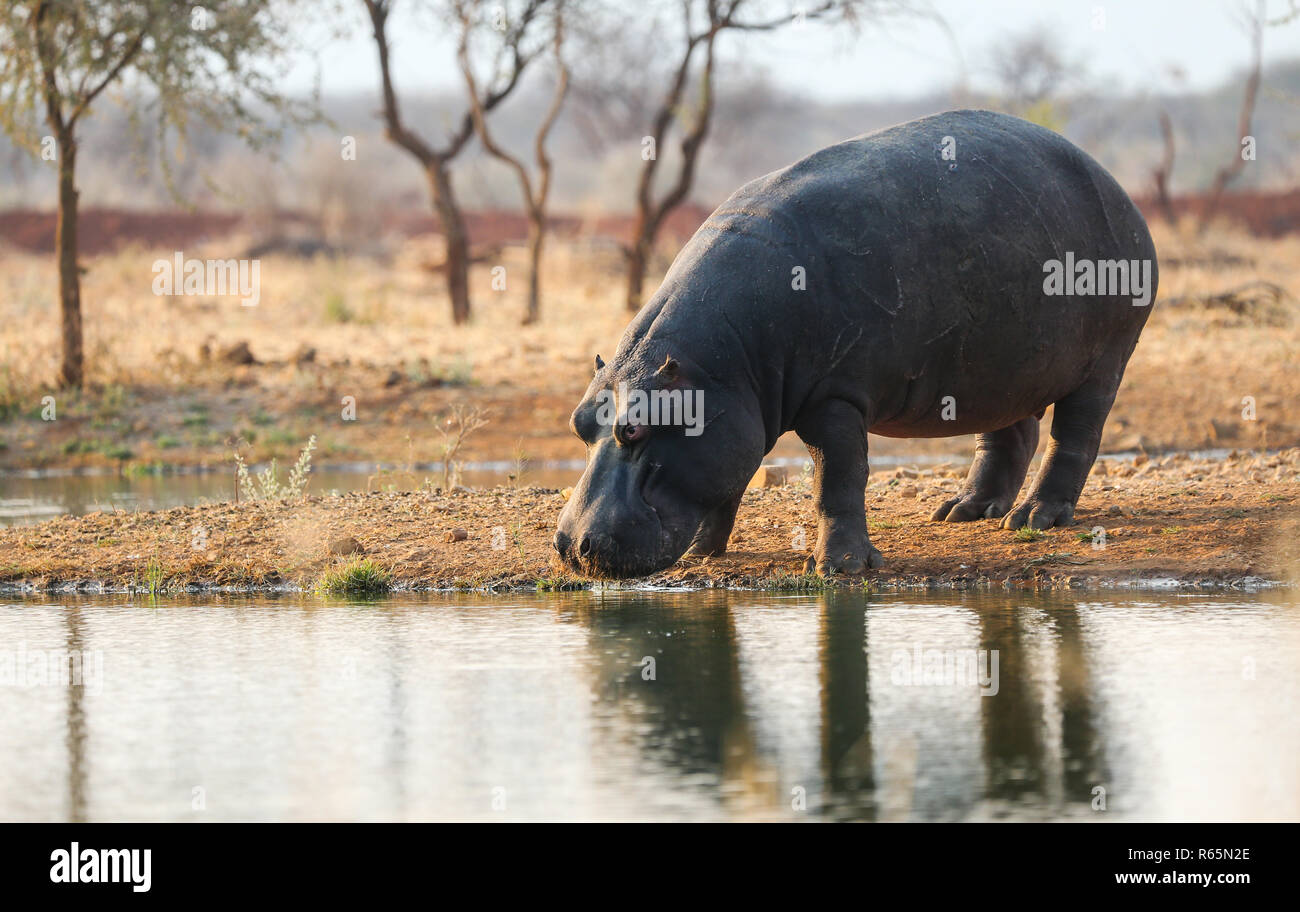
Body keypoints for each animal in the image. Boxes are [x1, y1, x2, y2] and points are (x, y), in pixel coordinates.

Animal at [553, 107, 1154, 579]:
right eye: (580, 424)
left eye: (635, 429)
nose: (572, 547)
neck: (712, 369)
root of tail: (1116, 188)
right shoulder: (735, 409)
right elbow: (728, 479)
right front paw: (704, 553)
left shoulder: (834, 397)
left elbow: (838, 479)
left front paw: (839, 566)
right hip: (999, 365)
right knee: (1009, 435)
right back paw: (962, 511)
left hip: (1105, 361)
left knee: (1075, 438)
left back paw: (1034, 519)